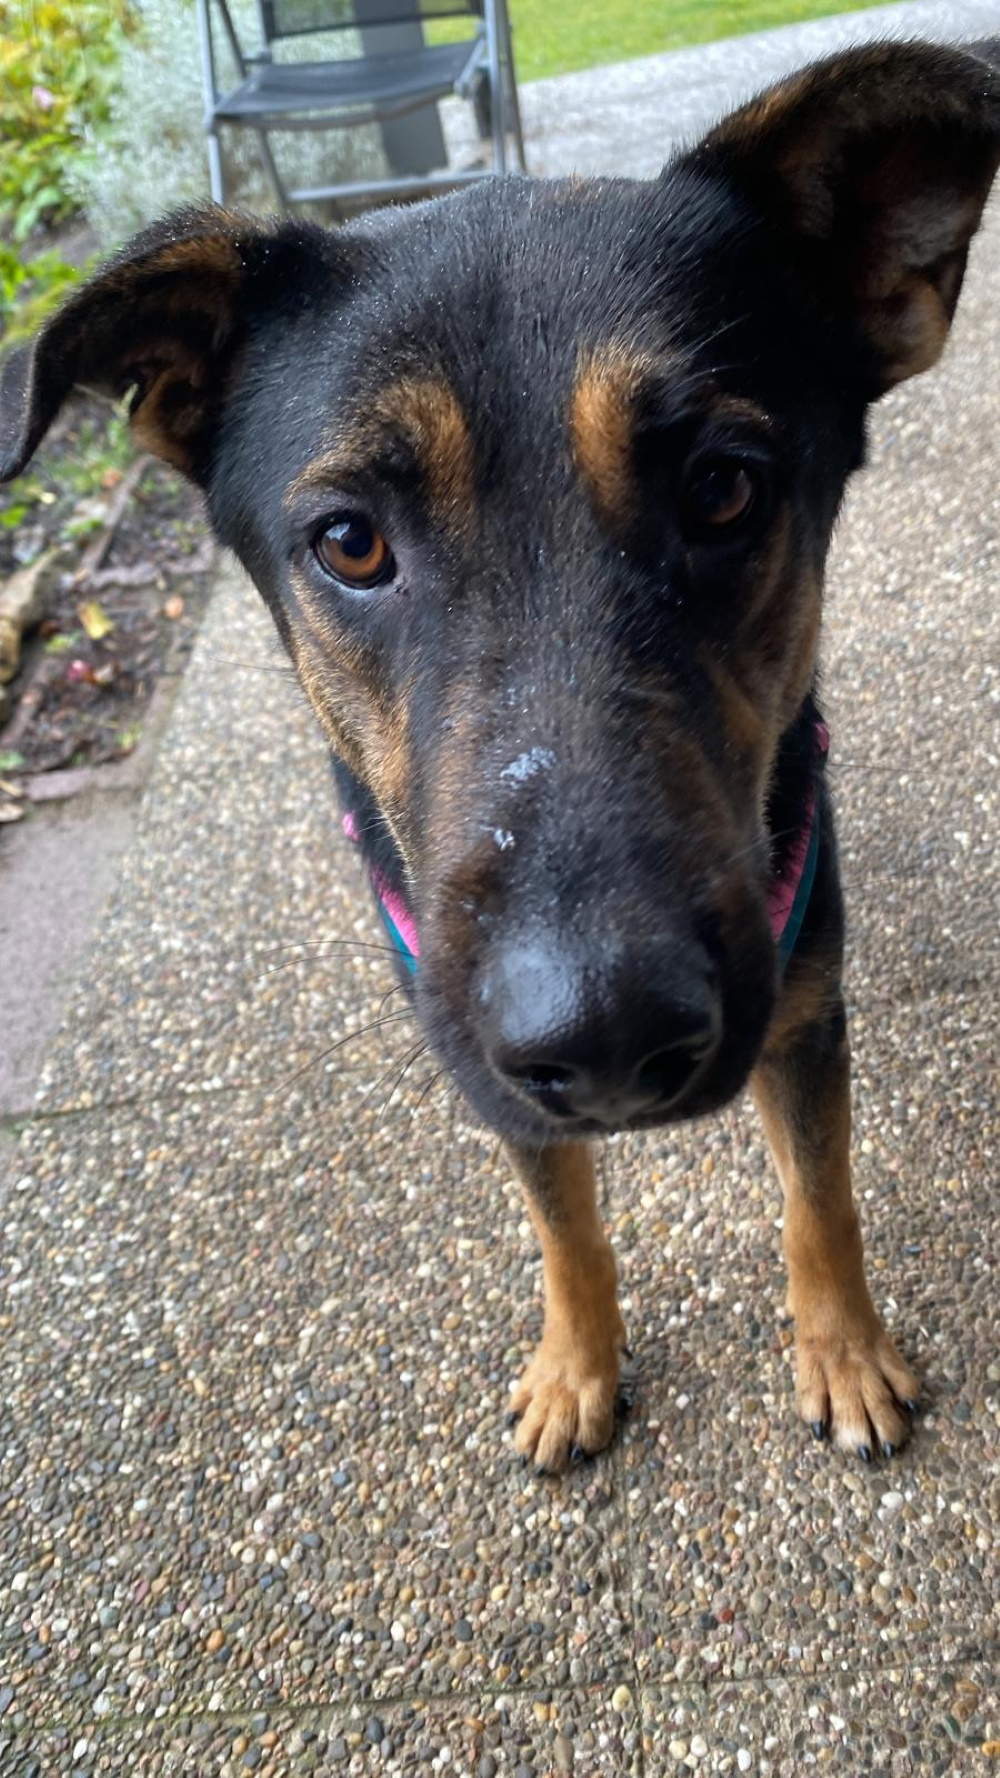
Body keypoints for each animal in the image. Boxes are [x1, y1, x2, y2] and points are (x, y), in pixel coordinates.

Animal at [3, 40, 998, 1475]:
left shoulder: (805, 1004)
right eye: (349, 541)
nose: (609, 1035)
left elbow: (821, 1196)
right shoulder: (485, 1059)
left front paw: (844, 1348)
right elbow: (565, 1226)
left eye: (724, 486)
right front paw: (578, 1365)